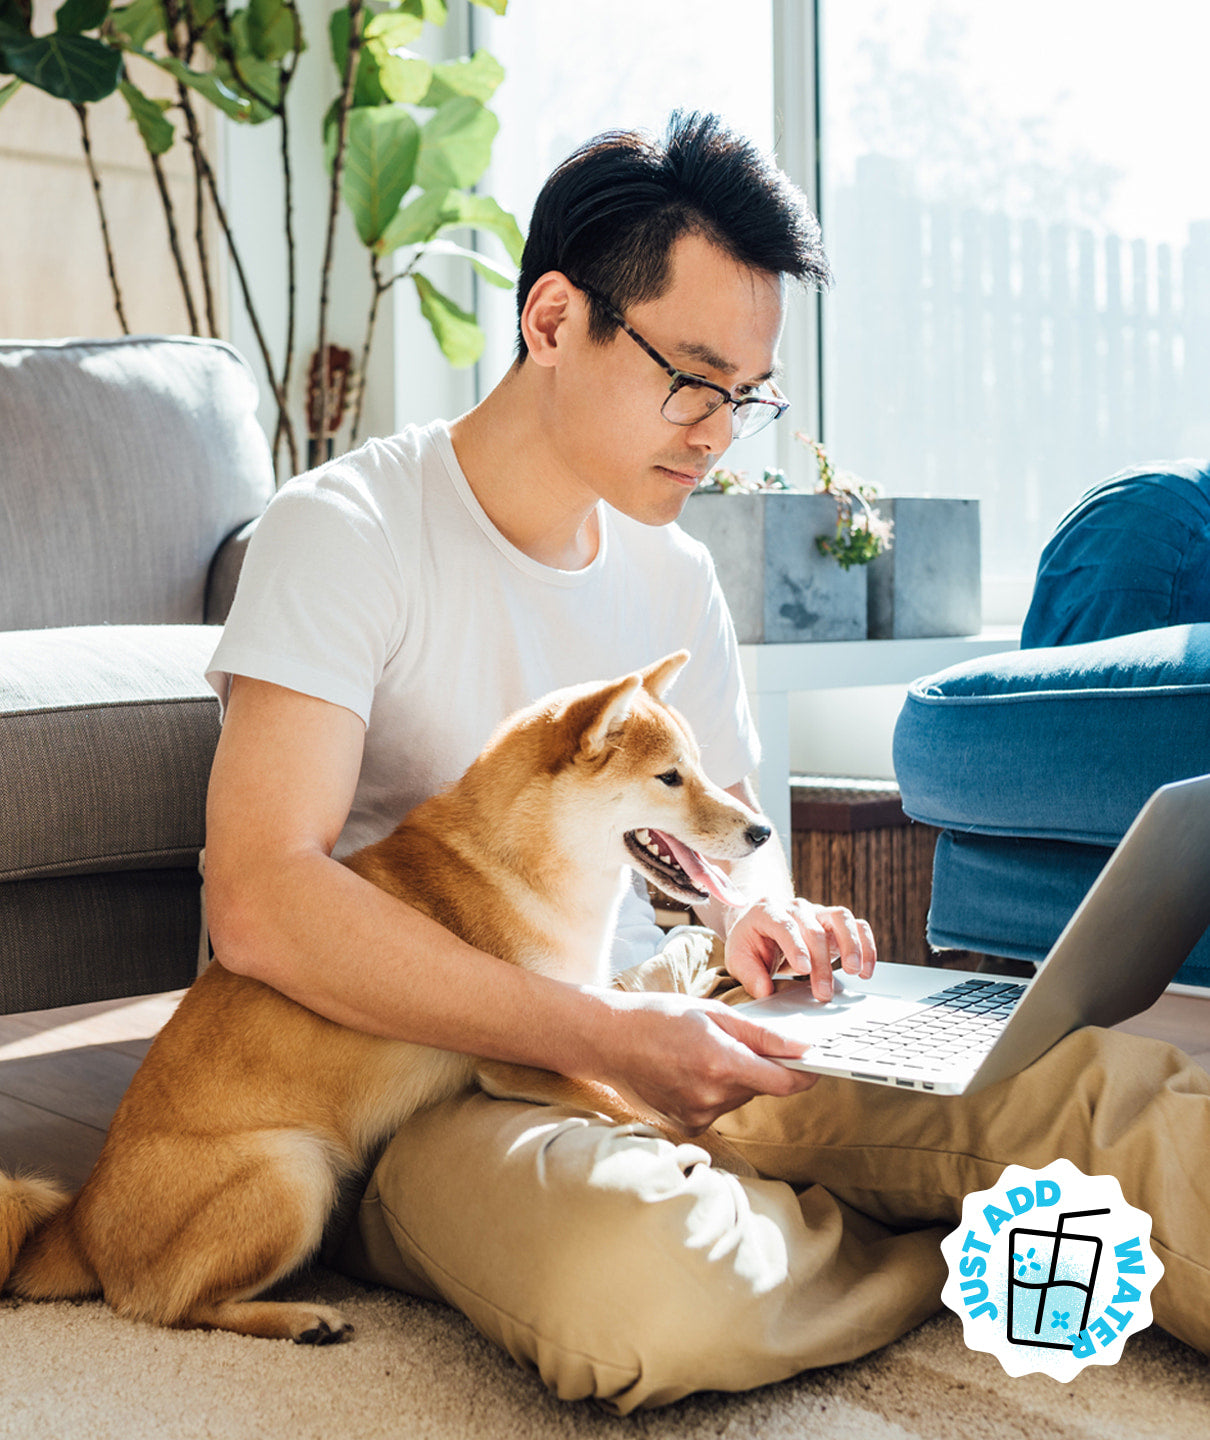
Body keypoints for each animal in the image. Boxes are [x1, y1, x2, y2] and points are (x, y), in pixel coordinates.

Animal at [0, 648, 772, 1342]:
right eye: (670, 778)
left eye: (702, 769)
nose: (763, 830)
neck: (523, 866)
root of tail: (77, 1222)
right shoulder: (528, 1055)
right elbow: (645, 1109)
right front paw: (734, 1157)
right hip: (292, 1172)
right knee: (166, 1305)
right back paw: (300, 1318)